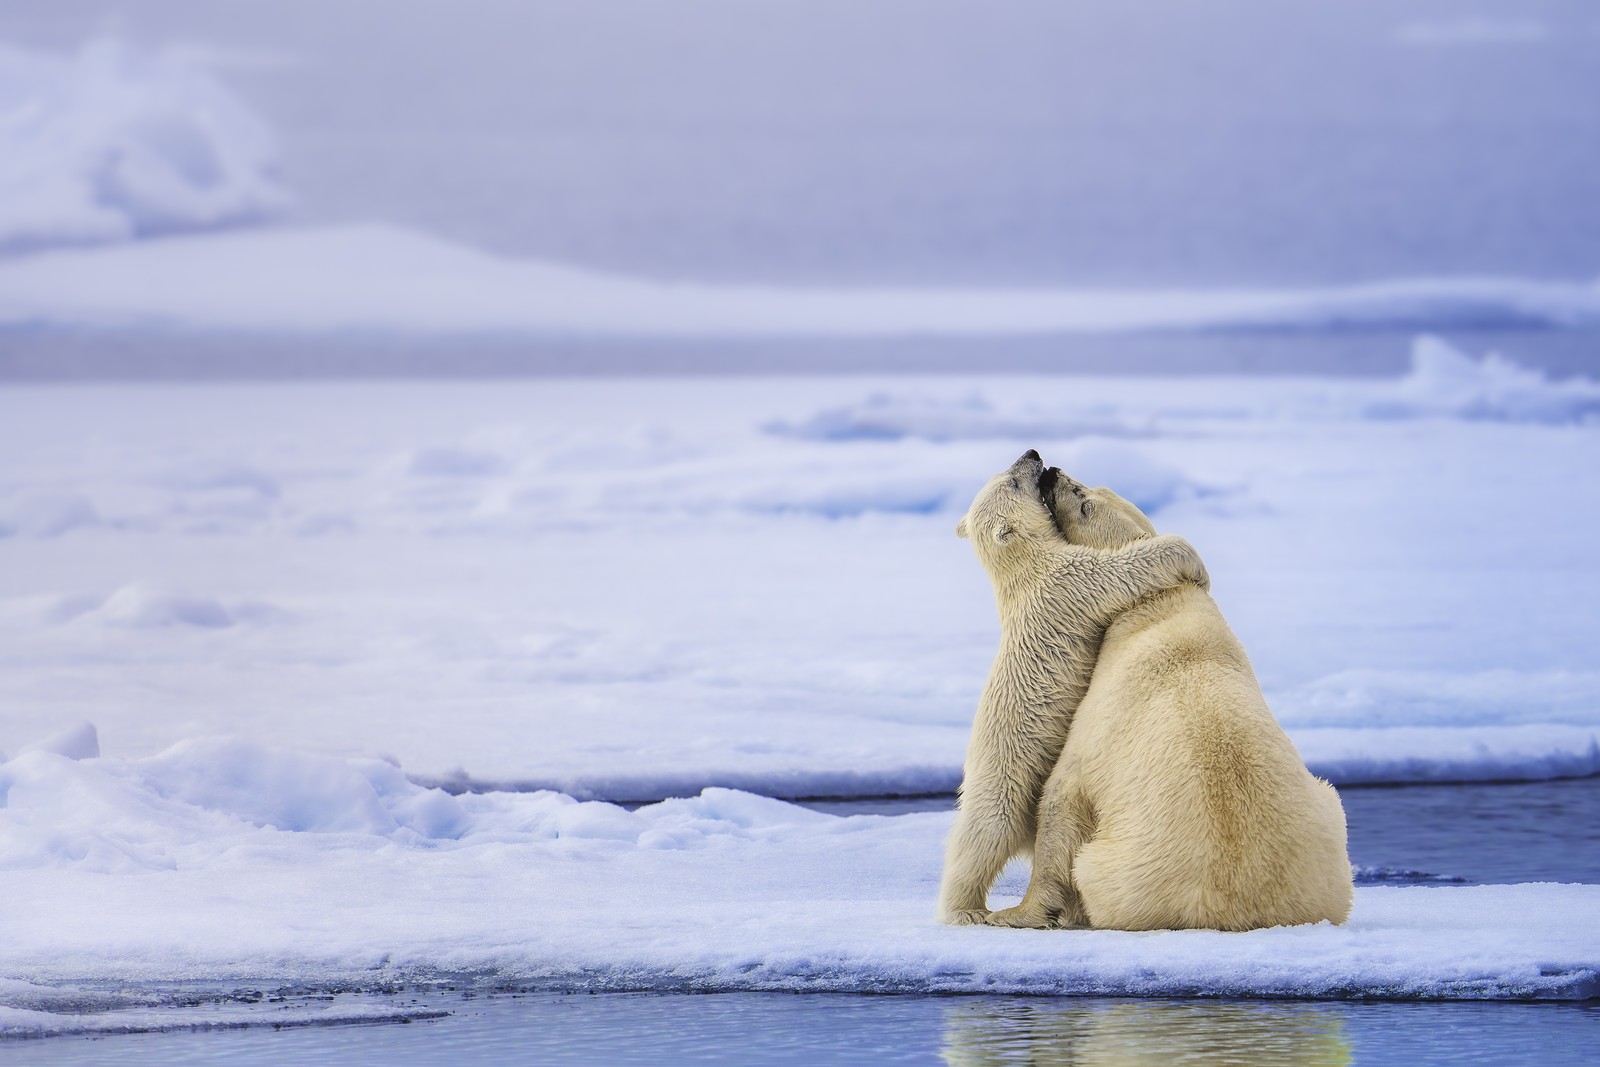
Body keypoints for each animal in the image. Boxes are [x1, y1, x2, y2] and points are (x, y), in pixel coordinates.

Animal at [938, 450, 1211, 924]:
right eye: (1013, 482)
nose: (1032, 455)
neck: (1025, 569)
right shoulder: (1071, 581)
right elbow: (1123, 568)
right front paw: (1194, 562)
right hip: (1002, 778)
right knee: (981, 836)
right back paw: (965, 911)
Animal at [984, 471, 1354, 931]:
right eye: (1093, 488)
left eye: (1084, 502)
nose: (1052, 472)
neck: (1163, 606)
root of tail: (1229, 910)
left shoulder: (1098, 727)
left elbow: (1062, 795)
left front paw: (1017, 912)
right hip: (1328, 840)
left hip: (1118, 869)